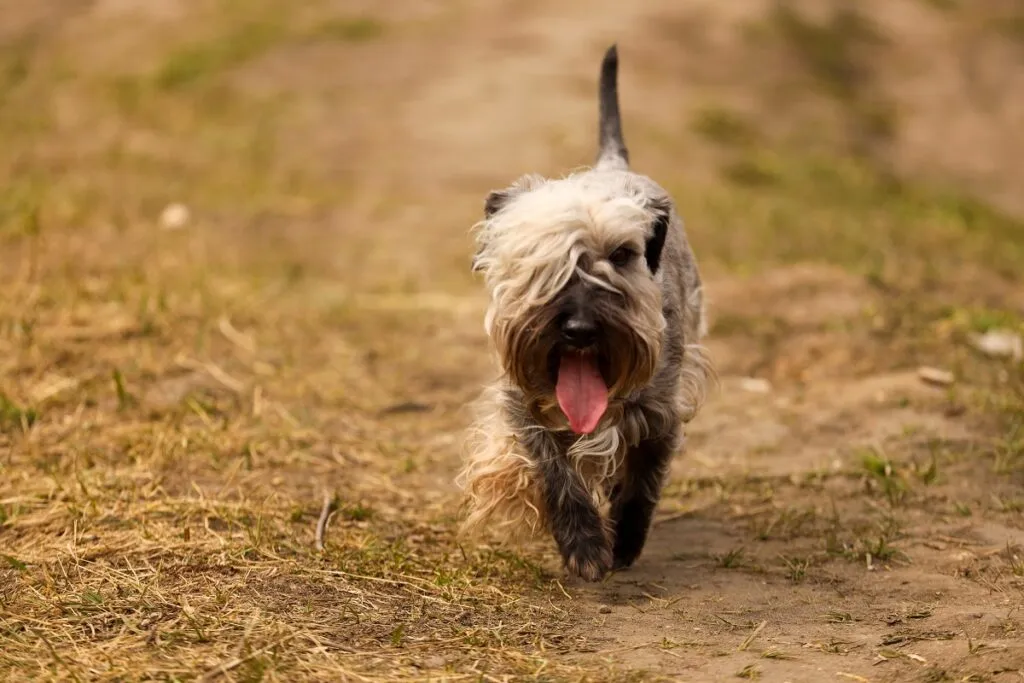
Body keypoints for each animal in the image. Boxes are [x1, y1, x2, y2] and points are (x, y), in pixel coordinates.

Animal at [456, 44, 712, 581]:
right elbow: (555, 471)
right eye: (537, 260)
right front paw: (585, 545)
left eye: (621, 254)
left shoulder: (661, 408)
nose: (579, 329)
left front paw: (625, 542)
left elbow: (643, 478)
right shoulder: (525, 406)